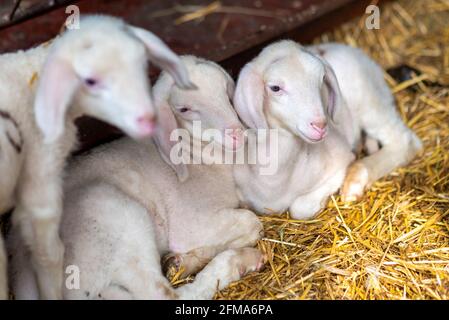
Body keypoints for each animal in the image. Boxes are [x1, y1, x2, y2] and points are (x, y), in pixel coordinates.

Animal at [0, 15, 193, 300]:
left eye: (142, 64)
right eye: (90, 81)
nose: (148, 118)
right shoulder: (41, 179)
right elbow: (49, 255)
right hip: (123, 223)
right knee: (160, 291)